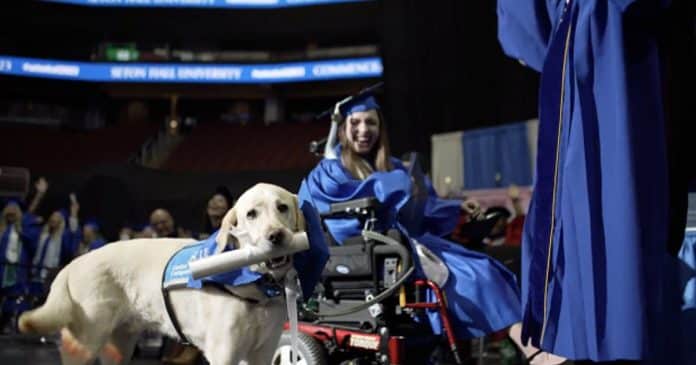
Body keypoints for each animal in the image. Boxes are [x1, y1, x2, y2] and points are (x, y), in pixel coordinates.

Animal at [19, 183, 304, 362]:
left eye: (282, 207)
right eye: (251, 214)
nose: (276, 236)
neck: (254, 284)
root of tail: (73, 263)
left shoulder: (263, 352)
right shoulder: (223, 352)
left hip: (119, 346)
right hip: (84, 343)